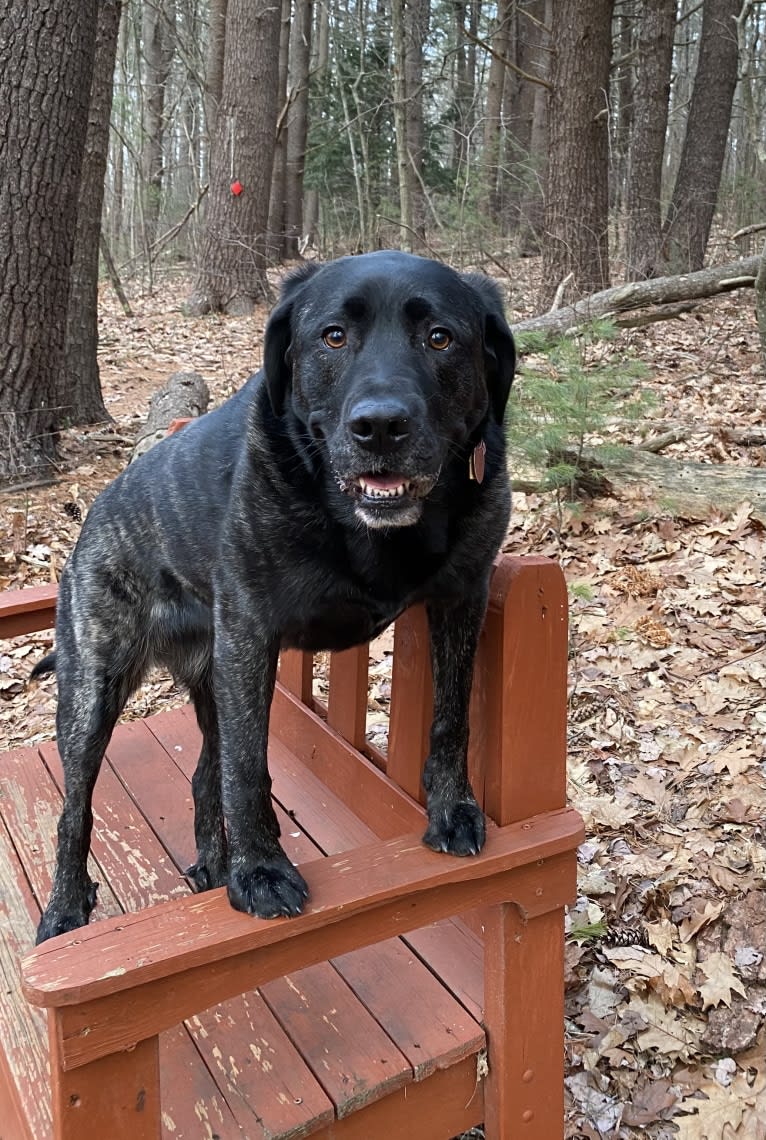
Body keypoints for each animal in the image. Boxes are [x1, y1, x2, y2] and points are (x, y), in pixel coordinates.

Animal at [34, 249, 515, 943]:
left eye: (440, 338)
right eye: (333, 336)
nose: (379, 426)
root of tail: (92, 515)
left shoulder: (462, 598)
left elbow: (451, 718)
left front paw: (451, 809)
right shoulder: (250, 637)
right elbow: (247, 770)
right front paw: (260, 871)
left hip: (210, 682)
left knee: (203, 774)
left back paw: (213, 863)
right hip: (93, 691)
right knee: (77, 809)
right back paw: (66, 910)